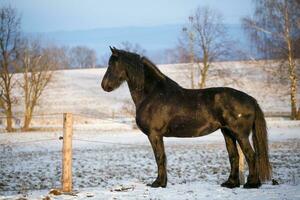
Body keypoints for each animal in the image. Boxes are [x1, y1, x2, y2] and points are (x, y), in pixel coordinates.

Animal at [101, 47, 272, 189]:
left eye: (111, 65)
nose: (104, 86)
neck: (152, 94)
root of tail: (251, 99)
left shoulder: (154, 134)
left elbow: (159, 157)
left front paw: (158, 183)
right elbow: (162, 157)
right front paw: (162, 182)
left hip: (240, 134)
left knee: (251, 155)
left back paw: (252, 184)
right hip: (227, 133)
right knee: (234, 156)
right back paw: (230, 183)